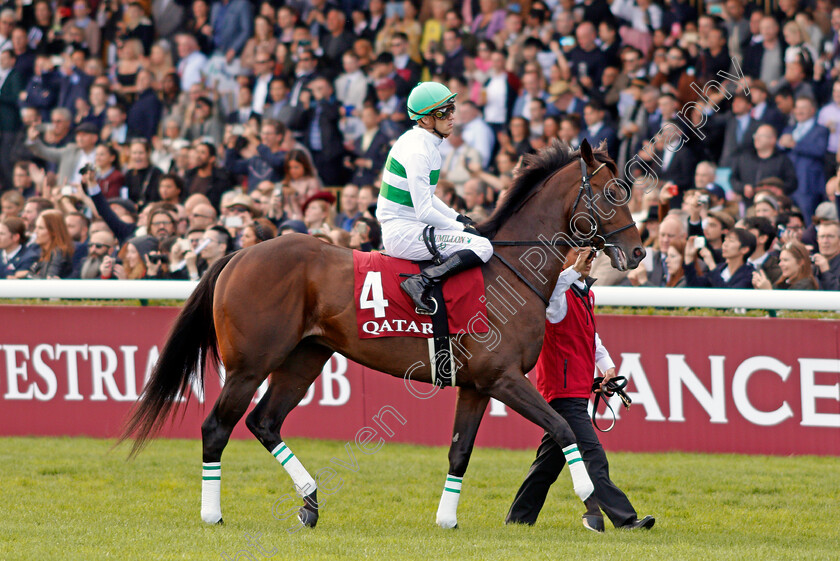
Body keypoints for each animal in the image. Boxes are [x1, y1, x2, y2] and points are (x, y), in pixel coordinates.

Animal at [120, 139, 644, 528]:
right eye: (611, 193)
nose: (638, 252)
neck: (510, 268)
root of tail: (239, 253)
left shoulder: (478, 384)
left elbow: (460, 451)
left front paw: (446, 520)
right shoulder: (504, 378)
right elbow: (562, 428)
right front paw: (592, 508)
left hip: (305, 358)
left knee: (264, 422)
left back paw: (310, 503)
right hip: (250, 365)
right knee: (217, 427)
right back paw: (213, 514)